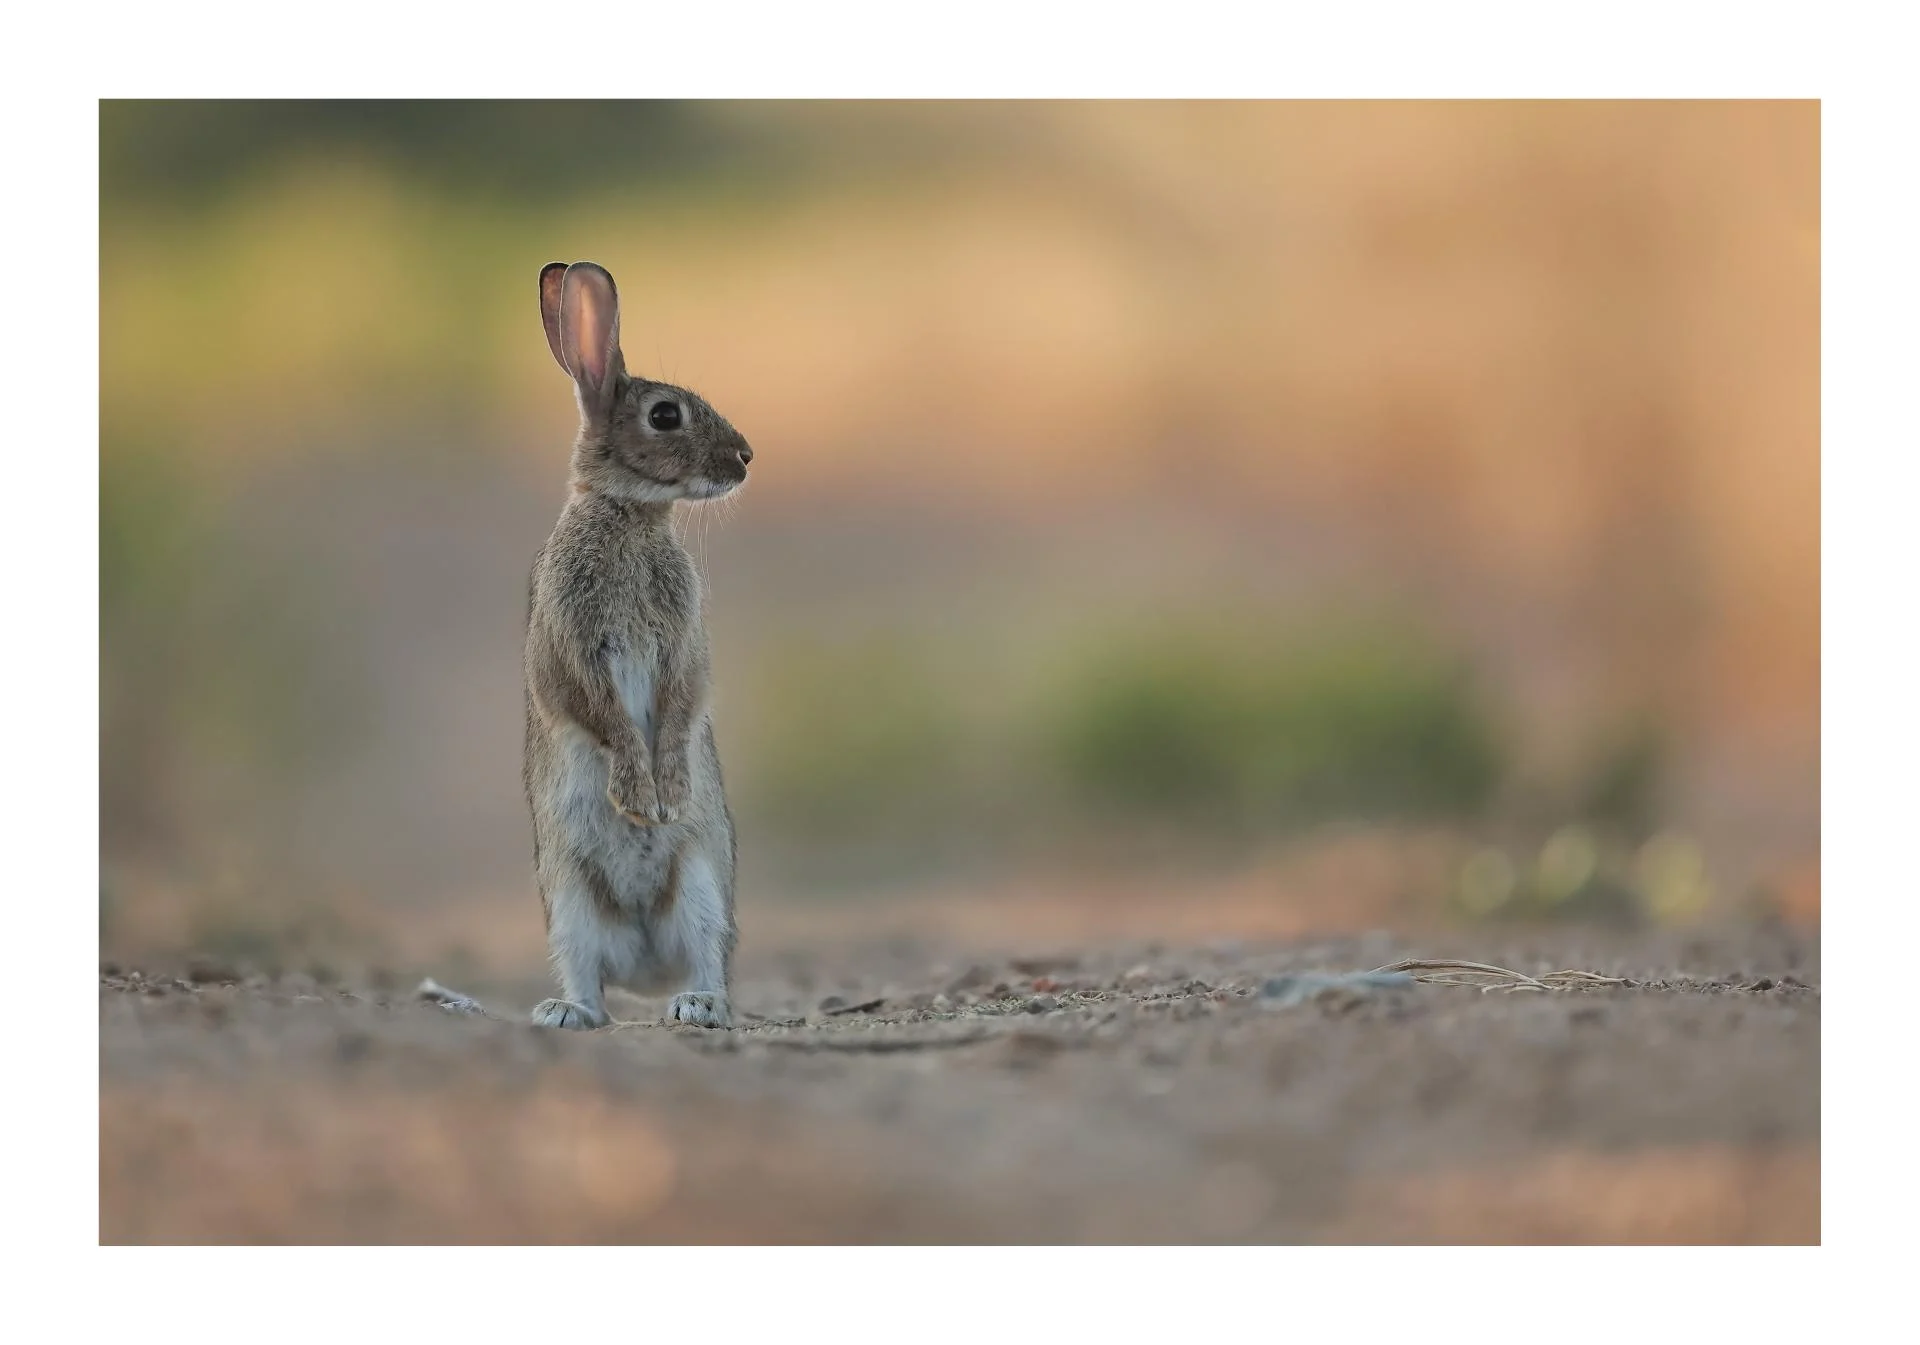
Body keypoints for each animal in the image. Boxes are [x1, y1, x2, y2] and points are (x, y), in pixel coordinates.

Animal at [522, 260, 752, 1030]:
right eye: (665, 415)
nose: (746, 457)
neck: (629, 513)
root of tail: (646, 966)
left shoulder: (683, 645)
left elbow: (680, 705)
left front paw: (668, 795)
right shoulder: (572, 644)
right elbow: (604, 716)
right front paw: (637, 798)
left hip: (703, 886)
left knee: (709, 960)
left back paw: (696, 1004)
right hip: (569, 903)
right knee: (591, 983)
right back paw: (566, 1012)